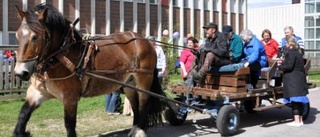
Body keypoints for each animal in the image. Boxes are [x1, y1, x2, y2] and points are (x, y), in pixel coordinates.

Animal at [12, 3, 165, 137]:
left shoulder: (70, 99)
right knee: (135, 104)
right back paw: (134, 129)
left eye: (35, 37)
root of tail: (143, 40)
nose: (20, 72)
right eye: (17, 35)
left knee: (143, 104)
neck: (61, 56)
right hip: (129, 84)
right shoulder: (37, 93)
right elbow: (22, 115)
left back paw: (140, 131)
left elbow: (69, 125)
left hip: (143, 80)